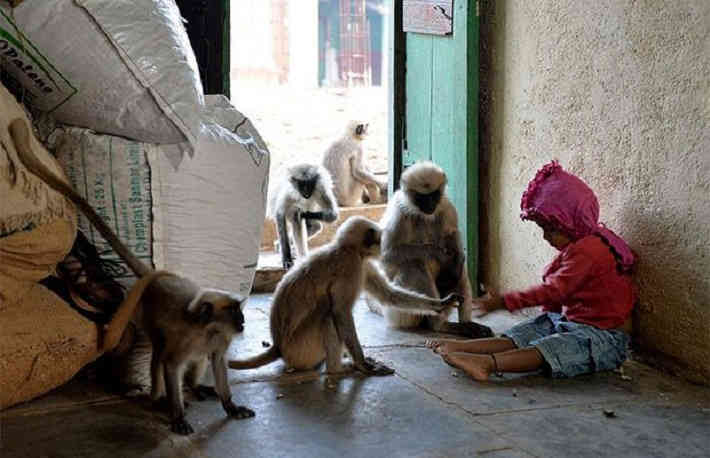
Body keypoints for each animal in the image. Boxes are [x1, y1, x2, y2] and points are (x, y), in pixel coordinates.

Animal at [8, 119, 254, 436]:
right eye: (235, 312)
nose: (242, 321)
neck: (207, 329)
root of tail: (155, 278)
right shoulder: (186, 337)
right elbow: (171, 365)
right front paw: (177, 414)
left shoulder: (218, 340)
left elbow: (218, 362)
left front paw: (230, 405)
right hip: (149, 318)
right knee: (159, 354)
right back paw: (159, 399)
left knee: (195, 360)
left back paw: (195, 387)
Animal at [231, 215, 464, 376]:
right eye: (380, 239)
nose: (383, 247)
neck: (347, 249)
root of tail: (279, 347)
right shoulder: (351, 267)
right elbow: (341, 311)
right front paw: (362, 364)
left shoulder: (362, 264)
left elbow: (389, 295)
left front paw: (442, 304)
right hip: (300, 350)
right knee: (328, 315)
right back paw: (338, 368)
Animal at [372, 160, 496, 336]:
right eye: (422, 198)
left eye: (433, 195)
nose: (430, 204)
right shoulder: (398, 213)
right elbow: (385, 256)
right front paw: (435, 252)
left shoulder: (446, 206)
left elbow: (453, 235)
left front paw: (455, 258)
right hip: (398, 313)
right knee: (413, 264)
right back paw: (439, 324)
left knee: (461, 272)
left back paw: (465, 324)